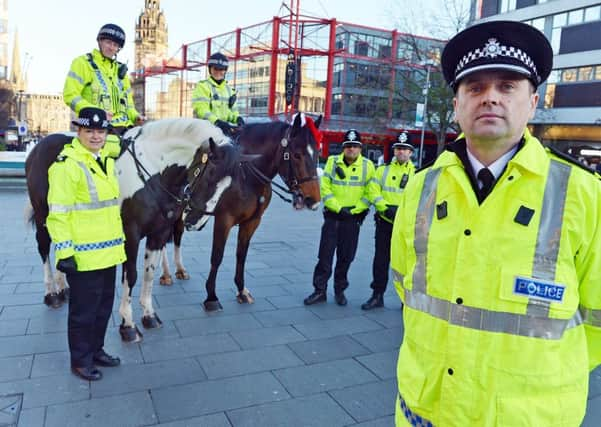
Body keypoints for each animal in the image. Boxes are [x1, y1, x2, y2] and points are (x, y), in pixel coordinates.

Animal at [25, 118, 241, 342]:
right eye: (210, 176)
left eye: (228, 187)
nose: (196, 221)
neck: (155, 173)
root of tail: (40, 144)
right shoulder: (130, 234)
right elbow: (131, 275)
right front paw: (127, 324)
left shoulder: (159, 233)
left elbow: (149, 273)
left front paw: (149, 314)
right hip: (44, 215)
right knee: (44, 246)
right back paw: (51, 294)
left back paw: (63, 288)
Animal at [183, 112, 324, 312]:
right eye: (297, 154)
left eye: (318, 153)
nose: (313, 200)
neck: (246, 176)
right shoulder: (223, 219)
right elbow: (217, 256)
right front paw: (211, 296)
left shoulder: (253, 221)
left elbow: (242, 254)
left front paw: (241, 289)